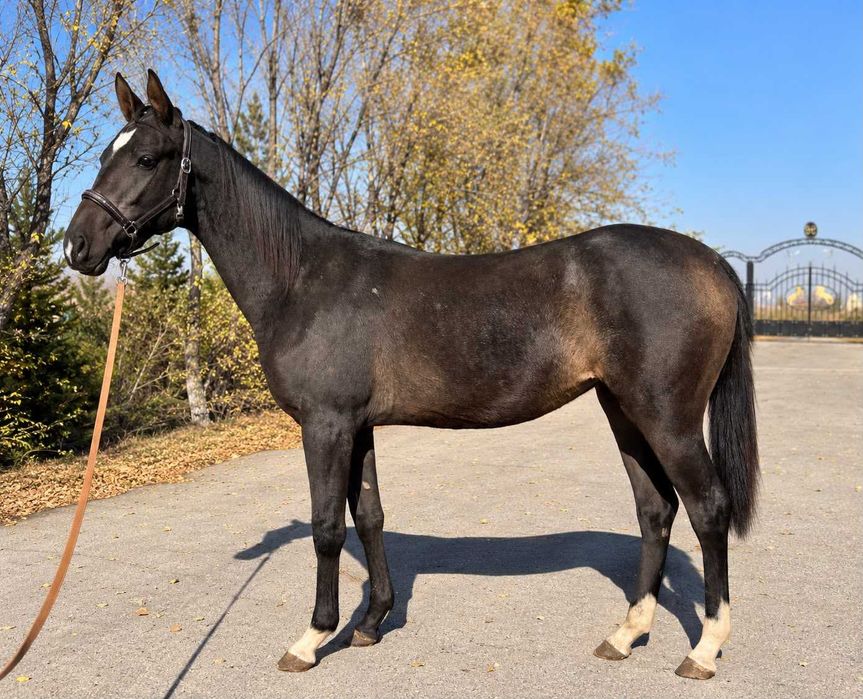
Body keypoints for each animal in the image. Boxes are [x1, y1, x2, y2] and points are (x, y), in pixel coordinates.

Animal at [63, 70, 758, 681]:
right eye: (103, 154)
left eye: (147, 158)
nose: (77, 247)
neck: (302, 278)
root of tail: (710, 262)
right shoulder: (358, 426)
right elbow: (368, 514)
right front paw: (371, 622)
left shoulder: (326, 426)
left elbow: (326, 526)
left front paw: (312, 639)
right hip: (624, 410)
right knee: (655, 510)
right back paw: (626, 633)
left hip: (666, 417)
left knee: (708, 508)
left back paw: (704, 650)